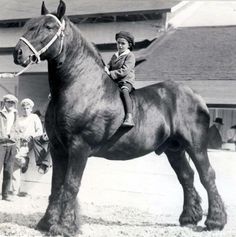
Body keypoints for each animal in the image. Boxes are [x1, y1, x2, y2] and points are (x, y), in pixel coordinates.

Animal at [13, 0, 227, 236]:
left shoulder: (79, 147)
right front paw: (47, 223)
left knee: (207, 175)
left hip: (195, 146)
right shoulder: (58, 148)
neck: (81, 87)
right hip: (174, 149)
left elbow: (71, 184)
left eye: (49, 27)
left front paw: (64, 226)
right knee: (186, 176)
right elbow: (57, 184)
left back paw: (215, 221)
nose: (18, 53)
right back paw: (189, 218)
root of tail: (196, 97)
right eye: (30, 24)